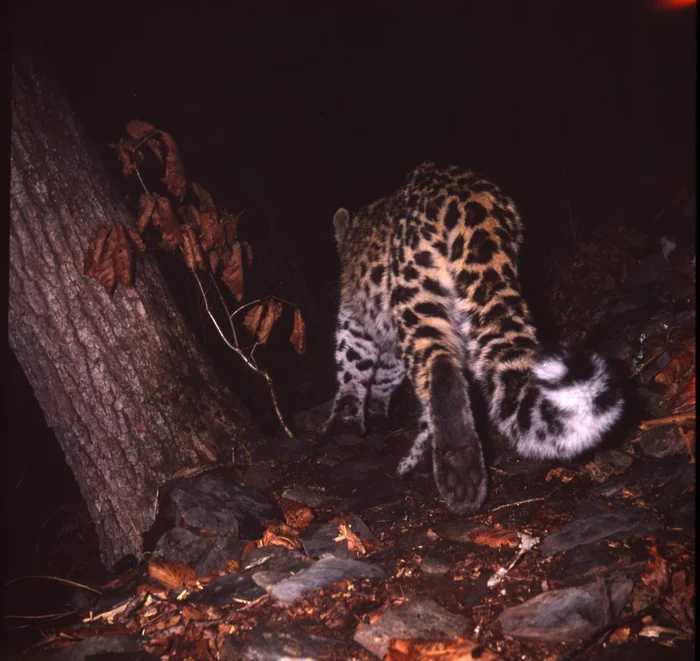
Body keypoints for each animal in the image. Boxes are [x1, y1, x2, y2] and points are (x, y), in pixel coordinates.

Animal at [322, 162, 624, 512]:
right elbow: (382, 377)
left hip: (416, 296)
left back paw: (454, 473)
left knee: (439, 370)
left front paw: (344, 424)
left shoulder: (354, 320)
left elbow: (352, 367)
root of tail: (469, 197)